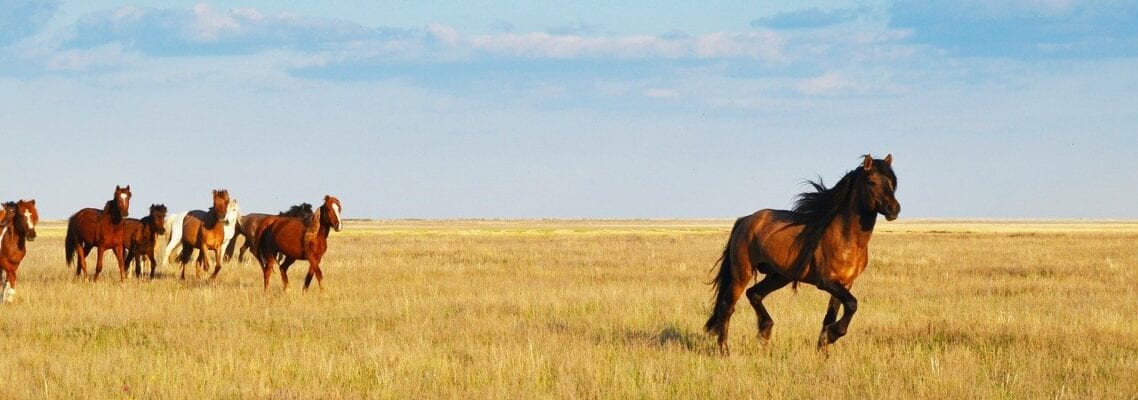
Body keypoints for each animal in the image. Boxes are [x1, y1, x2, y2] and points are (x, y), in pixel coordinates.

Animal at [701, 154, 896, 355]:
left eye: (892, 182)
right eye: (872, 181)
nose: (894, 209)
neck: (846, 237)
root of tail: (745, 220)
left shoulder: (845, 283)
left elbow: (831, 315)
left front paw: (823, 349)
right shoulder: (826, 282)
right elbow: (852, 304)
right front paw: (833, 335)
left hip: (780, 276)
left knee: (753, 294)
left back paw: (764, 332)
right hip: (742, 273)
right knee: (727, 306)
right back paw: (725, 350)